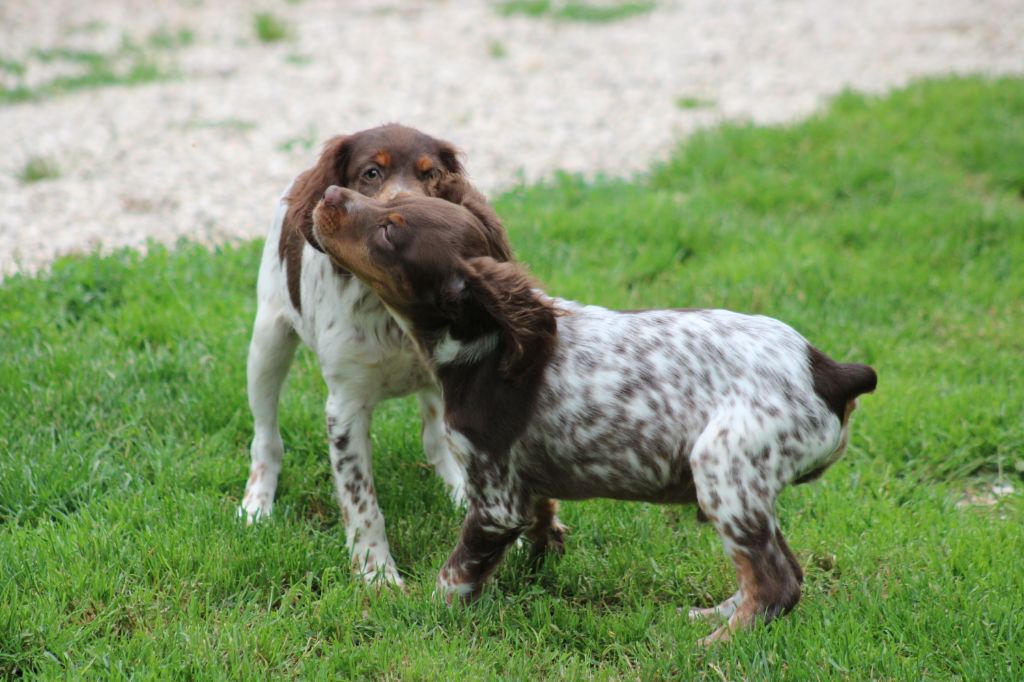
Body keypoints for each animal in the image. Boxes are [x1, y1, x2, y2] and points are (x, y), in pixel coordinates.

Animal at [238, 123, 561, 585]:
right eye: (371, 173)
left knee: (435, 440)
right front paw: (377, 574)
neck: (389, 310)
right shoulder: (346, 407)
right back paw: (257, 504)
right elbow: (362, 503)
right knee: (266, 438)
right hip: (268, 341)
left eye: (431, 175)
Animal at [309, 187, 872, 643]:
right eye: (388, 197)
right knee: (772, 571)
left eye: (388, 230)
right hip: (744, 488)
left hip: (724, 467)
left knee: (777, 583)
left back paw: (716, 644)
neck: (485, 346)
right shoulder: (523, 487)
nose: (330, 193)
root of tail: (830, 371)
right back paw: (711, 616)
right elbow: (540, 527)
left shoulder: (495, 499)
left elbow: (454, 575)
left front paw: (421, 616)